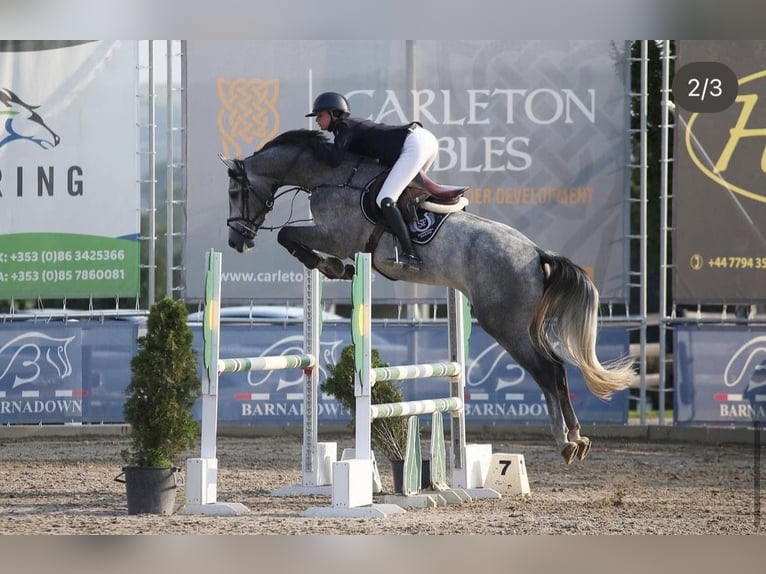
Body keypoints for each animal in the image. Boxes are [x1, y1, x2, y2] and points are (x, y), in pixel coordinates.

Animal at [225, 129, 632, 464]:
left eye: (234, 193)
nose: (236, 241)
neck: (330, 176)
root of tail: (535, 253)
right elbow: (290, 237)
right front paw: (335, 268)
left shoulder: (335, 236)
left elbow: (288, 235)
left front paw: (331, 267)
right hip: (526, 325)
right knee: (559, 369)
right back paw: (577, 437)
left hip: (505, 325)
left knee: (546, 371)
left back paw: (565, 441)